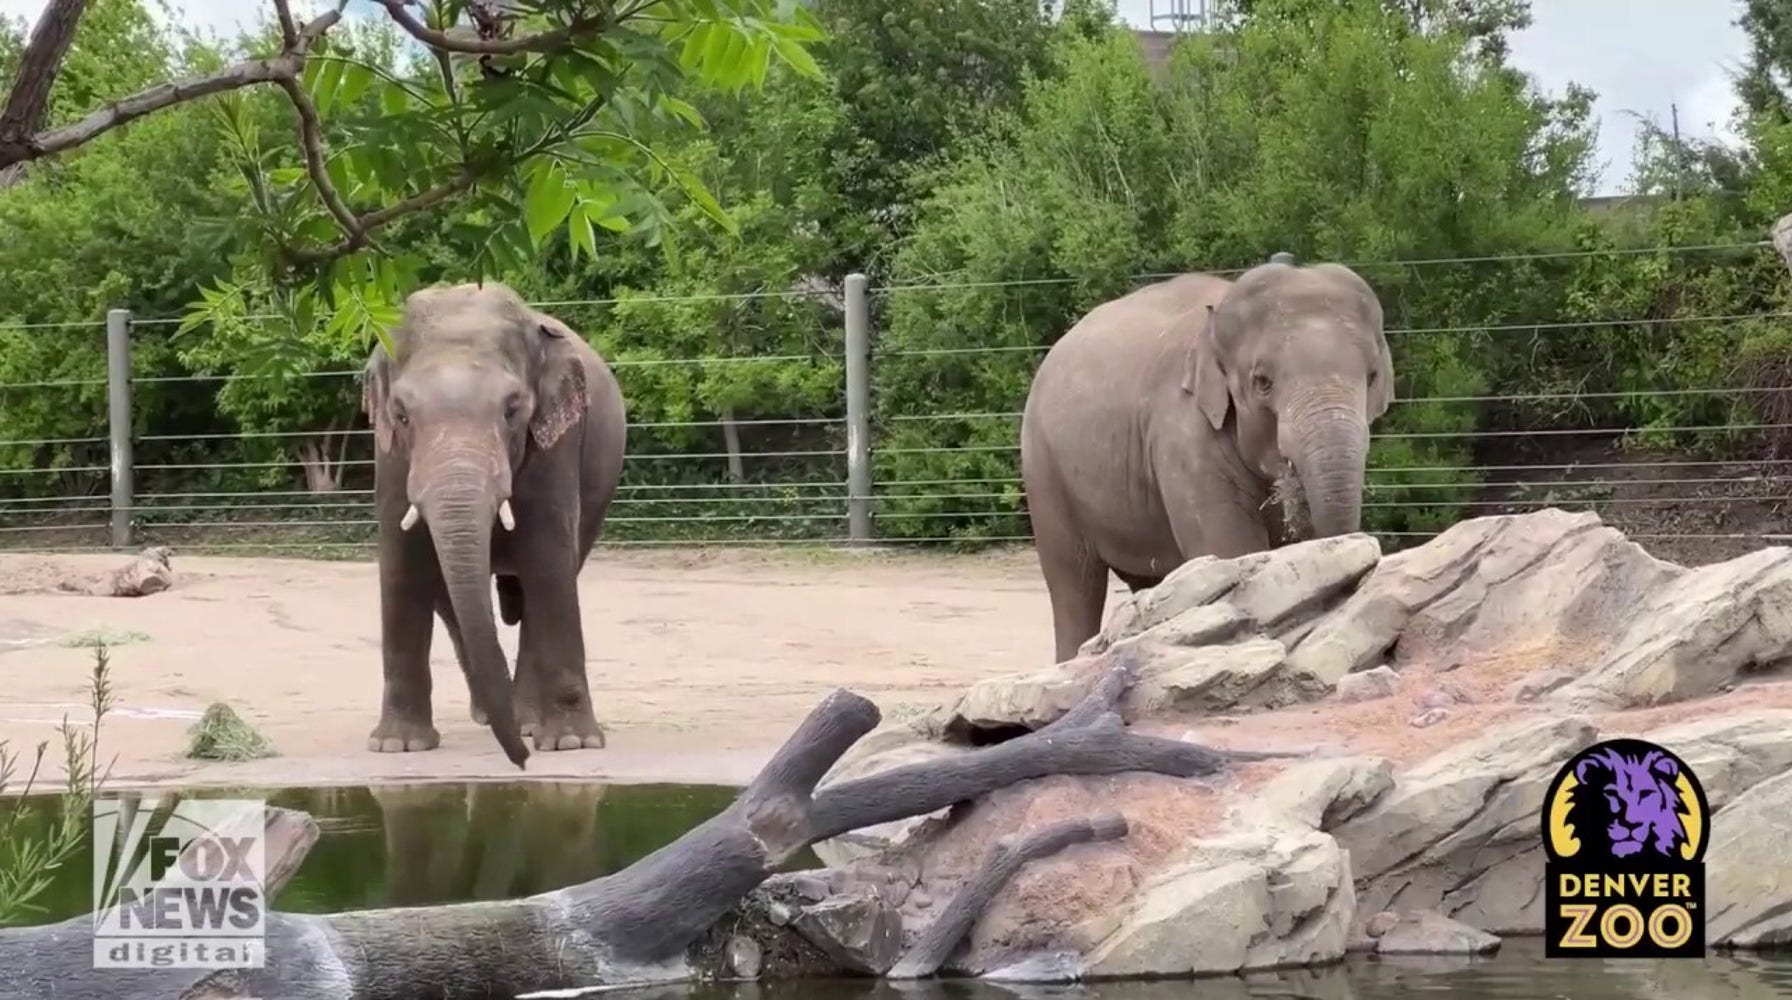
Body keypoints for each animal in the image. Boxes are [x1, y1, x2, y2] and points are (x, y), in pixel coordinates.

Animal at [358, 279, 630, 767]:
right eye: (402, 414)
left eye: (512, 409)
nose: (520, 761)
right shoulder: (388, 455)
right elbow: (401, 562)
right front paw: (396, 746)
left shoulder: (556, 444)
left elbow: (547, 559)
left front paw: (571, 743)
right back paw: (493, 711)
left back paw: (526, 721)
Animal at [1017, 263, 1390, 663]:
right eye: (1262, 381)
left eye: (1372, 376)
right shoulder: (1184, 437)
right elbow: (1231, 551)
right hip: (1043, 467)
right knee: (1073, 580)